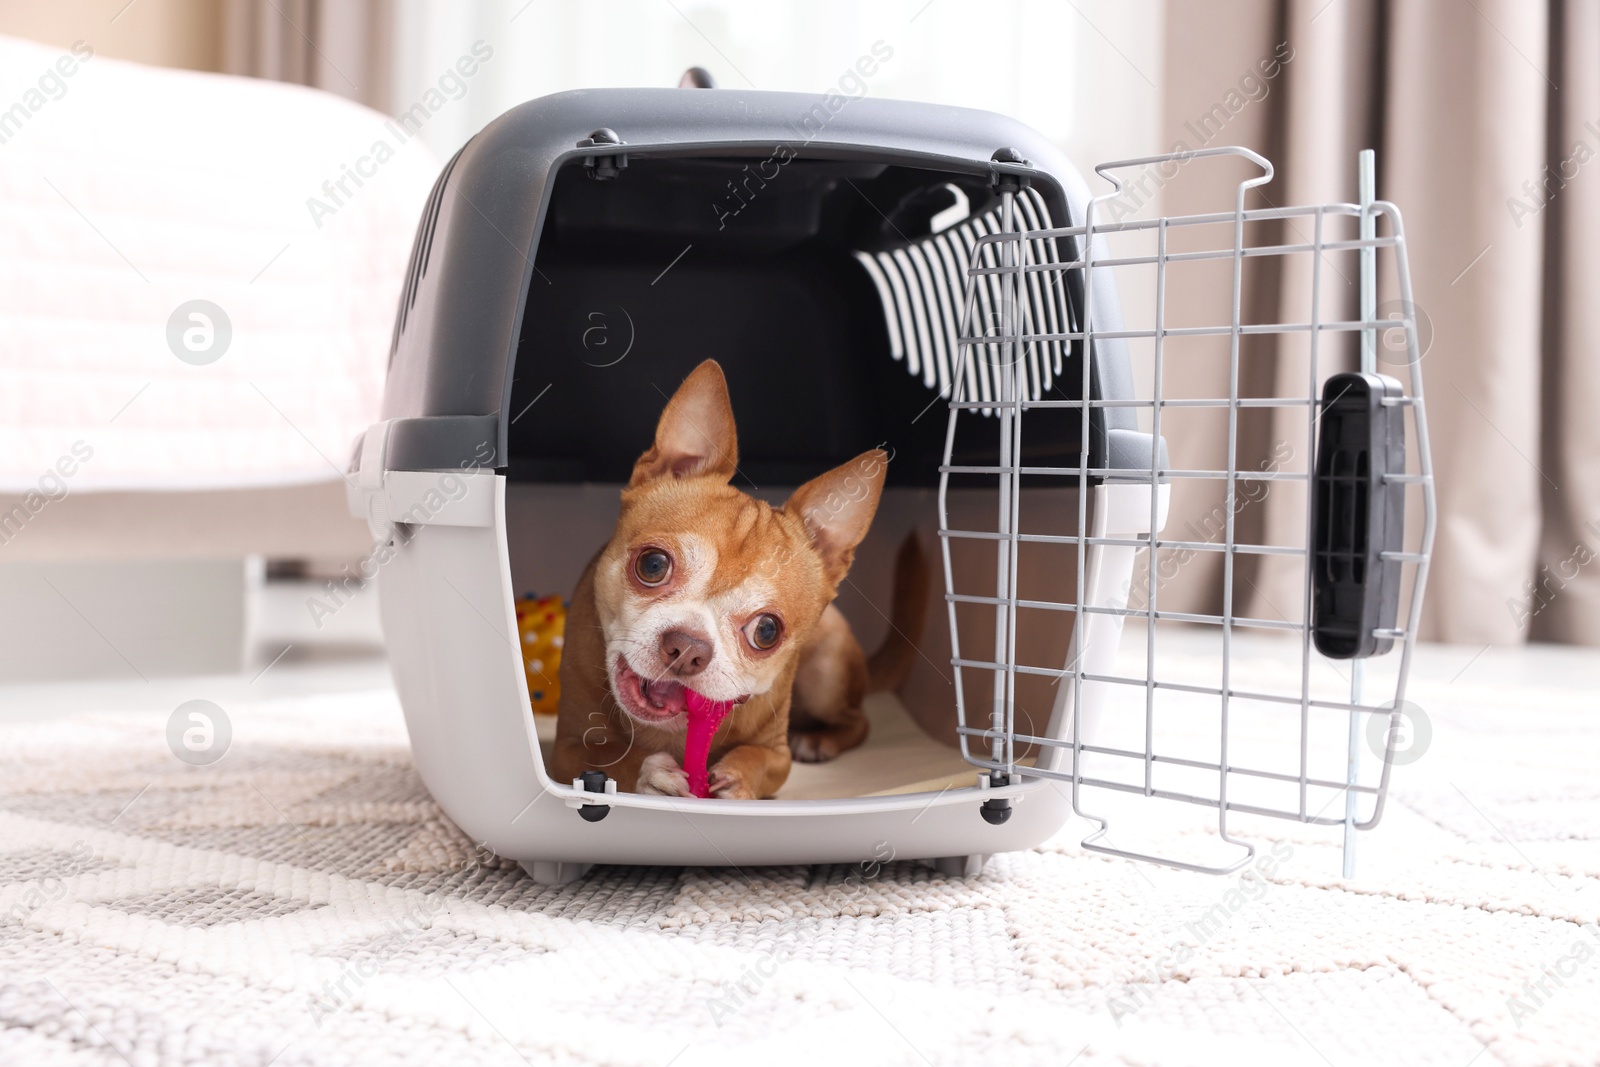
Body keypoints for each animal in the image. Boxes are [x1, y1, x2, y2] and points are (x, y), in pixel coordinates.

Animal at [550, 361, 928, 799]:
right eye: (653, 566)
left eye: (767, 631)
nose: (687, 647)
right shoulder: (568, 749)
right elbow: (614, 760)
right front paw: (651, 774)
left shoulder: (778, 756)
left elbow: (756, 758)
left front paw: (737, 779)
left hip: (828, 668)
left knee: (859, 719)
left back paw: (819, 739)